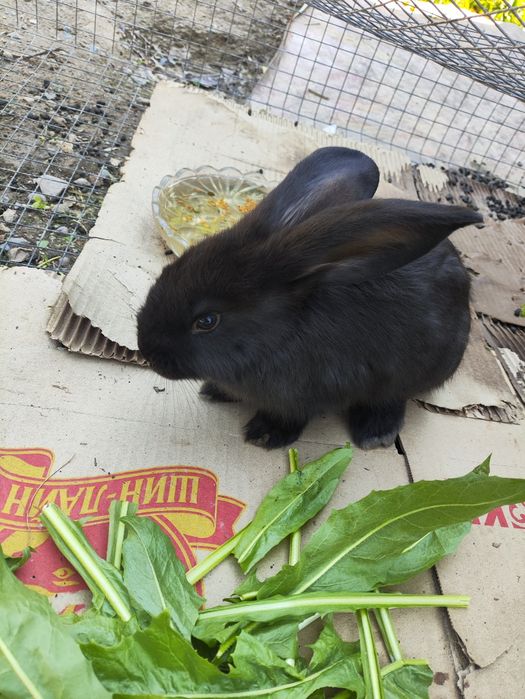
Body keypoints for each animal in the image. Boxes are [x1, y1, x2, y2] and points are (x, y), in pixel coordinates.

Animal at [137, 147, 482, 450]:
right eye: (168, 271)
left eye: (207, 321)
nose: (147, 352)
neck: (278, 335)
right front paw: (214, 391)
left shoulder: (306, 396)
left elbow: (292, 417)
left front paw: (265, 435)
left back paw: (375, 433)